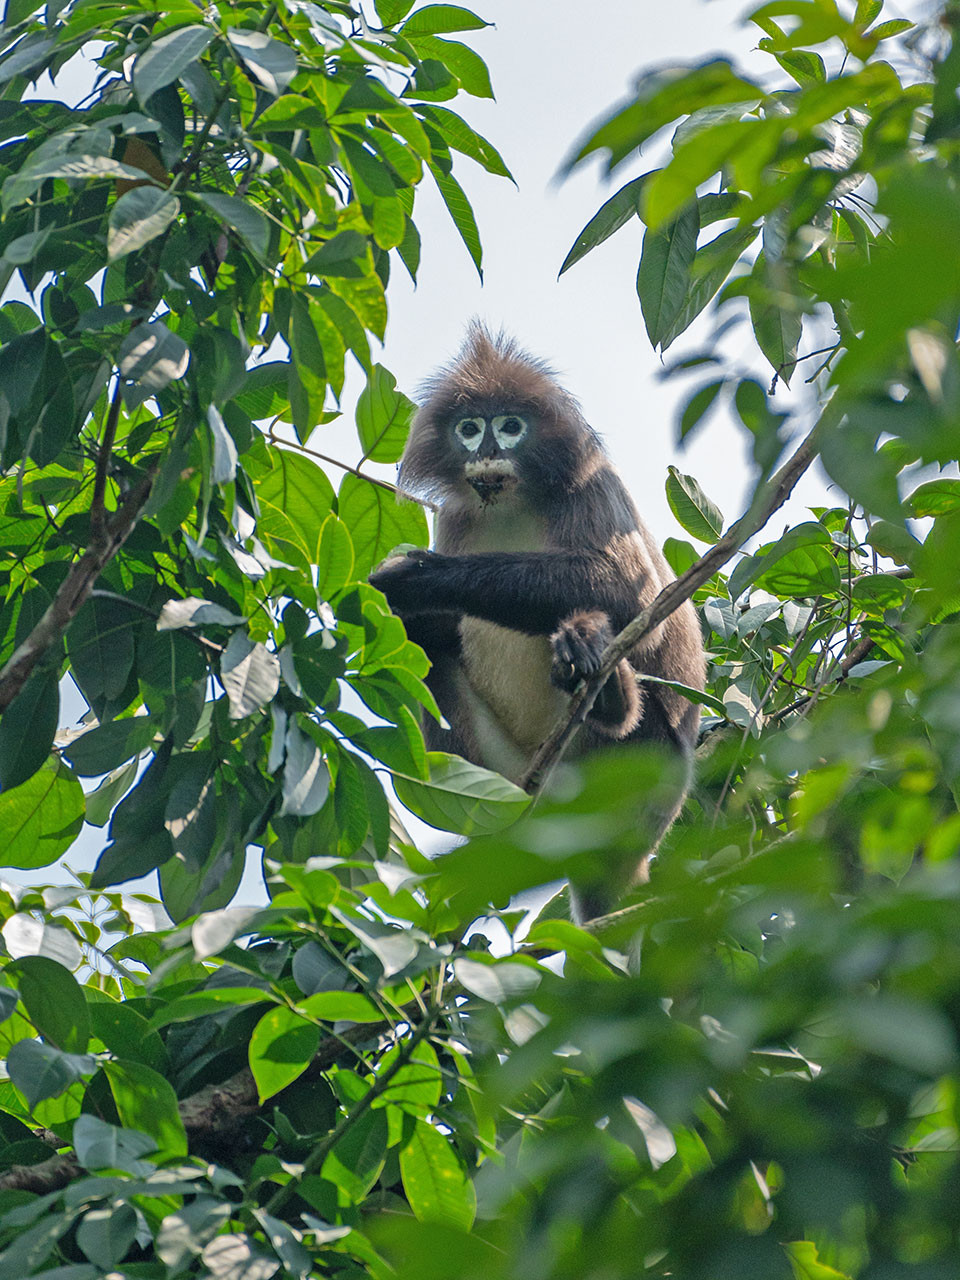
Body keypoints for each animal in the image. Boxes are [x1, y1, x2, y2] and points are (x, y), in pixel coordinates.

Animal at [370, 326, 706, 920]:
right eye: (470, 428)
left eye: (510, 426)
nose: (488, 451)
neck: (511, 502)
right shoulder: (456, 517)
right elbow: (432, 632)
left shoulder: (592, 483)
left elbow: (625, 589)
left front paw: (416, 577)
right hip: (509, 780)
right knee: (432, 653)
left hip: (649, 775)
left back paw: (607, 689)